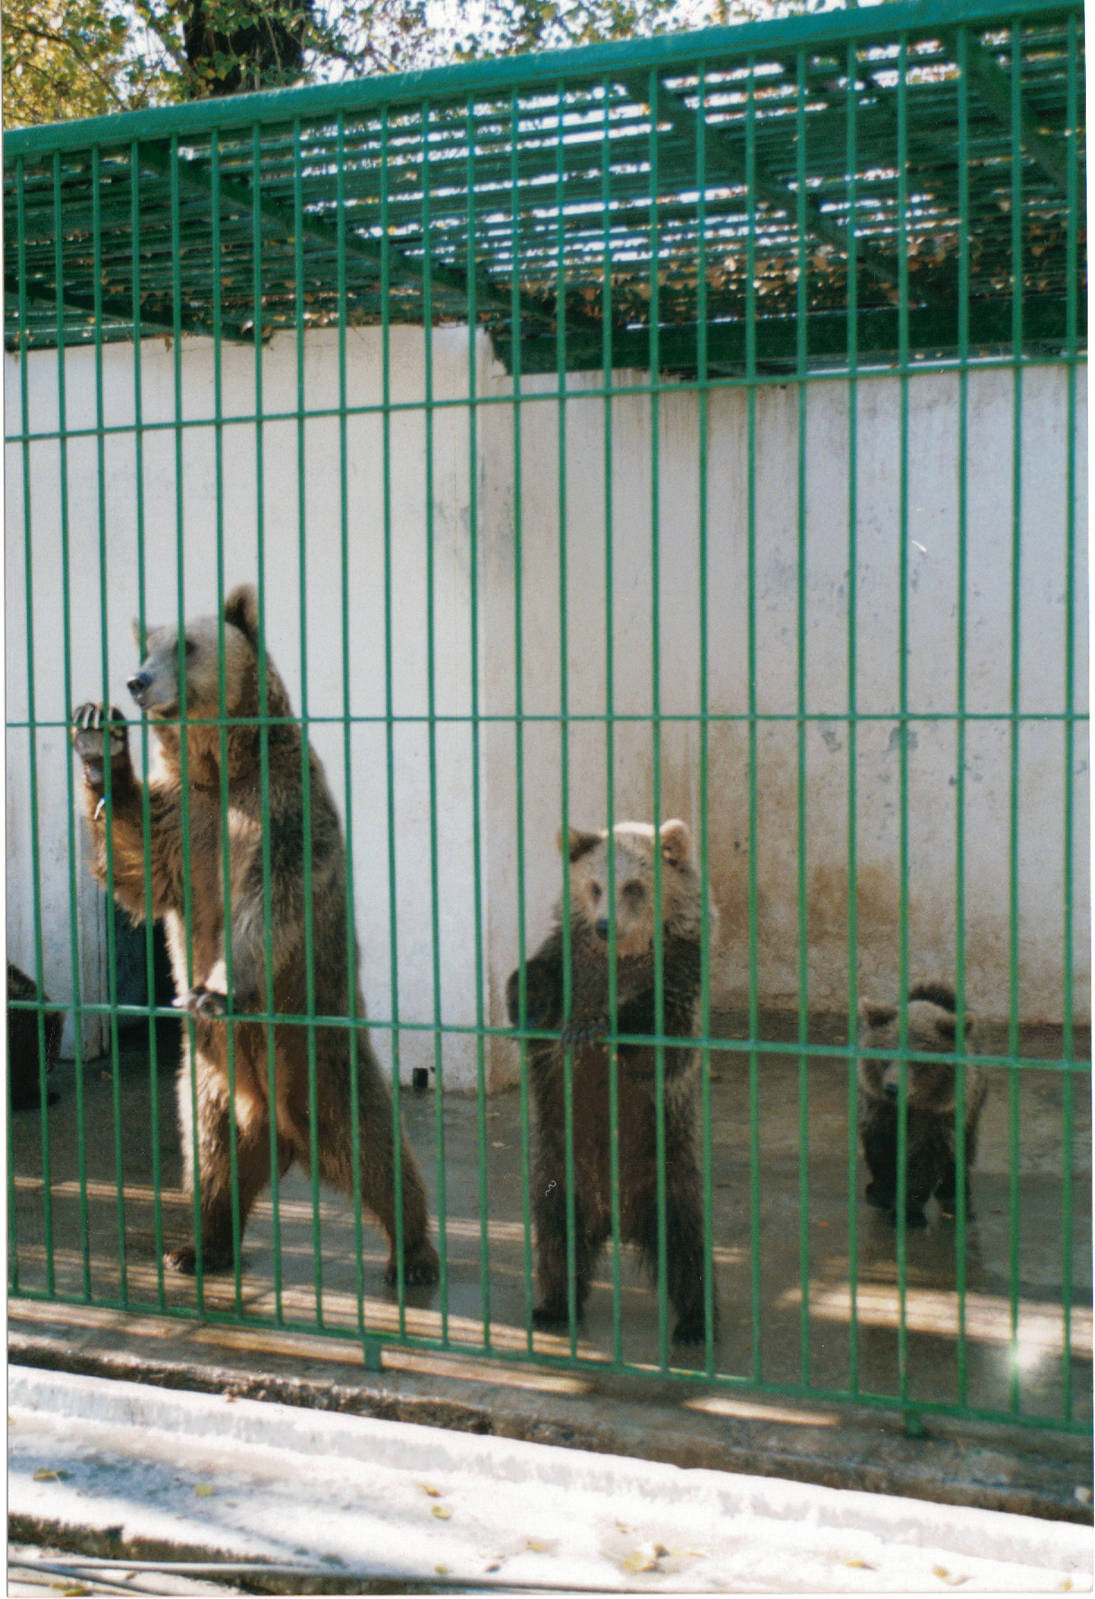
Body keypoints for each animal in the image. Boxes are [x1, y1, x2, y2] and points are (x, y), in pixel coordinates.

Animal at [71, 584, 439, 1287]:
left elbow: (269, 905)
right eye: (146, 646)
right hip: (207, 1086)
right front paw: (99, 744)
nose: (137, 682)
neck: (222, 767)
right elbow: (137, 863)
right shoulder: (184, 819)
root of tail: (283, 1130)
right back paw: (197, 1247)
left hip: (322, 1052)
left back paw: (412, 1253)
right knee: (209, 1164)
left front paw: (212, 989)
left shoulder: (279, 810)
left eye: (185, 645)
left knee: (376, 1145)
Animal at [506, 819, 716, 1345]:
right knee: (557, 1240)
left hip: (666, 1167)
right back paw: (554, 1305)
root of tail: (616, 1217)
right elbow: (535, 985)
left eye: (634, 886)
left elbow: (662, 1033)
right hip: (558, 1170)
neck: (622, 956)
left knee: (686, 1245)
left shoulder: (680, 974)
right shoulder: (570, 959)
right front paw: (538, 1007)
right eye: (596, 885)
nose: (605, 924)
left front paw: (599, 1028)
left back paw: (695, 1321)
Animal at [857, 981, 987, 1229]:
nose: (892, 1088)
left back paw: (954, 1189)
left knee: (964, 1145)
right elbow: (881, 1147)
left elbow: (926, 1158)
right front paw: (883, 1193)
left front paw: (908, 1213)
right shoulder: (879, 1107)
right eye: (886, 1054)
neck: (912, 1103)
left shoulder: (939, 1115)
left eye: (918, 1061)